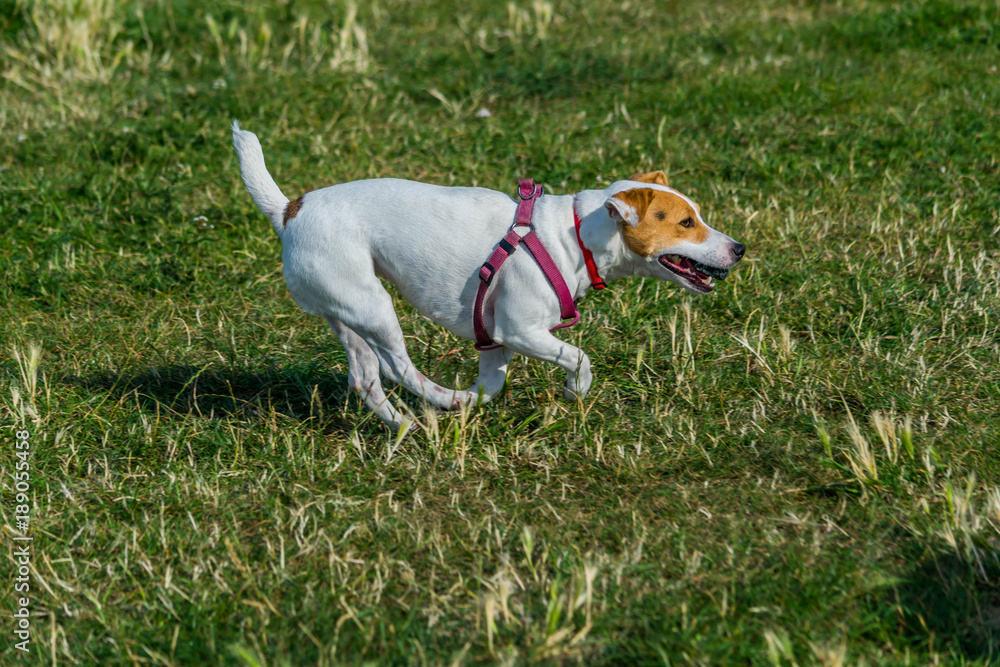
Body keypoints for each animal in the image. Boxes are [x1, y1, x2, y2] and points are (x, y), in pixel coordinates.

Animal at [229, 122, 744, 430]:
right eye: (686, 223)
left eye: (696, 216)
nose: (740, 249)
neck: (575, 234)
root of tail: (288, 210)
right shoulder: (519, 330)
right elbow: (578, 358)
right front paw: (575, 391)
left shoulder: (494, 338)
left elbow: (491, 385)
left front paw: (472, 401)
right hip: (373, 306)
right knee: (396, 365)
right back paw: (439, 399)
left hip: (345, 311)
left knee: (367, 379)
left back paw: (411, 424)